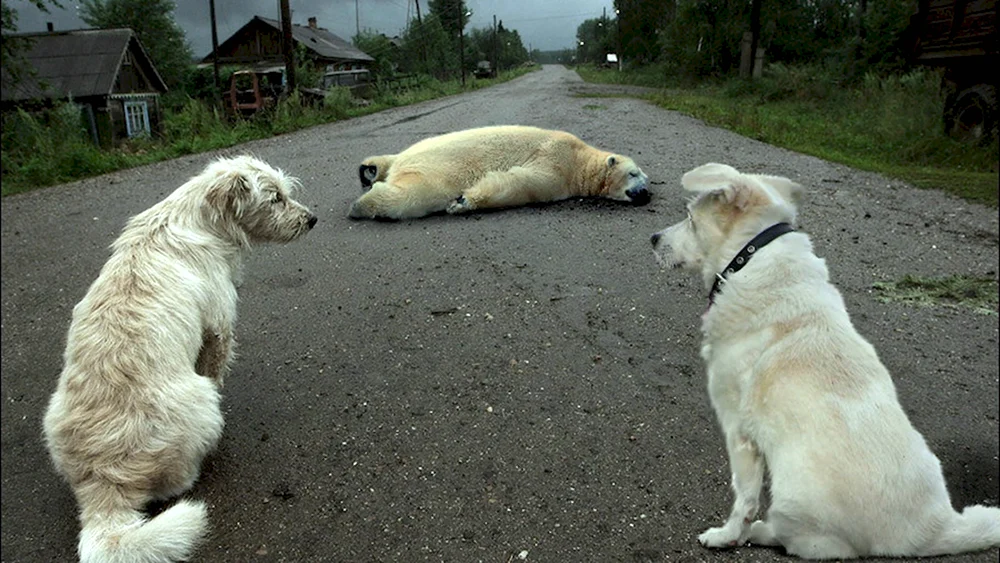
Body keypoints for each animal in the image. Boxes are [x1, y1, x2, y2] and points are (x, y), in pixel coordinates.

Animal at [42, 155, 316, 563]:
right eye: (275, 199)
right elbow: (215, 369)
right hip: (200, 405)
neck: (196, 219)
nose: (311, 219)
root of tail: (103, 482)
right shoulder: (218, 328)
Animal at [348, 125, 652, 220]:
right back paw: (362, 204)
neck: (582, 159)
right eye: (634, 174)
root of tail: (402, 160)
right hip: (433, 170)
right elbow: (525, 182)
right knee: (416, 194)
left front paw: (462, 201)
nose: (646, 193)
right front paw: (462, 201)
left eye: (647, 179)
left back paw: (370, 170)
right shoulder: (556, 160)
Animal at [648, 163, 1000, 560]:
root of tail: (932, 531)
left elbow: (744, 497)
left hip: (792, 497)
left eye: (691, 218)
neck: (750, 258)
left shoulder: (738, 430)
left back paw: (761, 531)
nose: (653, 238)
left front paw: (727, 536)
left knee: (810, 543)